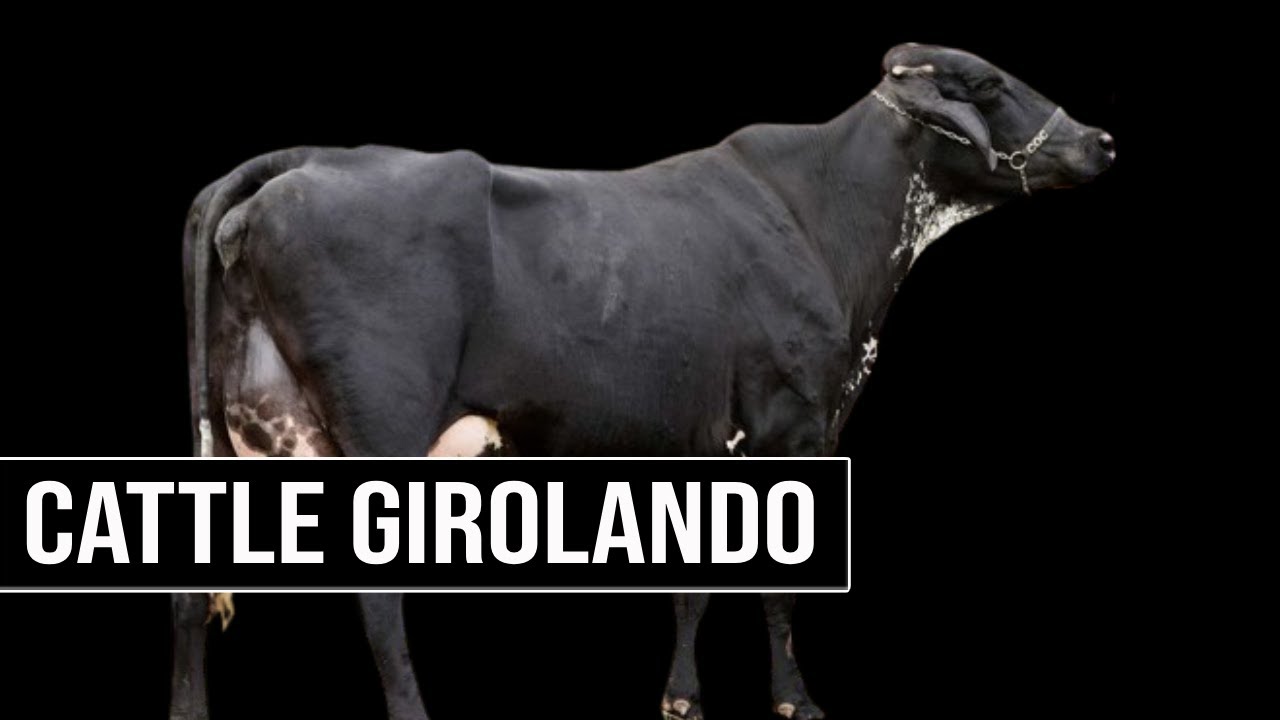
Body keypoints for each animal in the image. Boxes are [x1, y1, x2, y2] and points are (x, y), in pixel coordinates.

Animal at [177, 43, 1114, 720]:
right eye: (987, 82)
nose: (1102, 140)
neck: (823, 217)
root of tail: (310, 161)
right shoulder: (797, 427)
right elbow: (781, 588)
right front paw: (796, 701)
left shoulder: (704, 440)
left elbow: (691, 585)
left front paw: (682, 699)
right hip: (382, 429)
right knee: (377, 601)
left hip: (238, 432)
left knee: (192, 592)